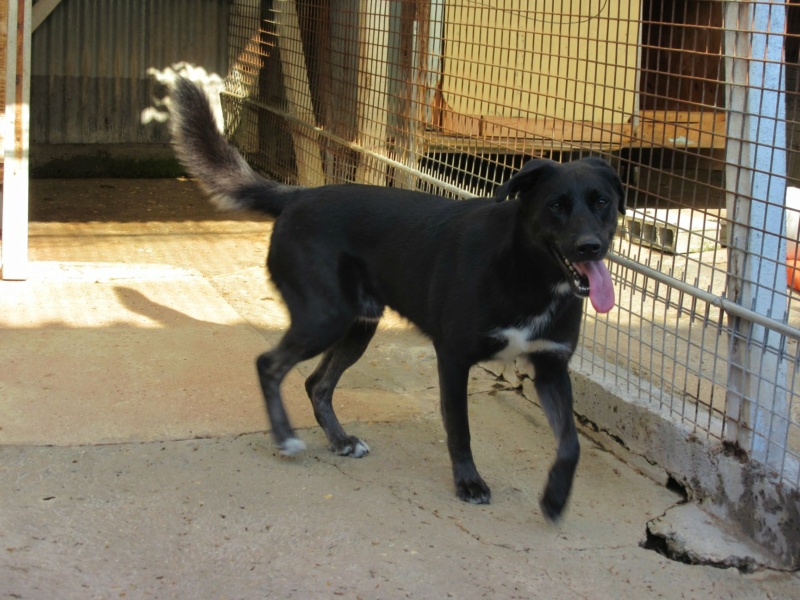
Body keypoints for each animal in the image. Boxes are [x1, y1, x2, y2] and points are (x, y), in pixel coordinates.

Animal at [170, 79, 624, 520]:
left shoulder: (551, 367)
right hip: (325, 318)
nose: (591, 247)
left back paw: (340, 440)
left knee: (316, 383)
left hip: (358, 325)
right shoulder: (454, 357)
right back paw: (285, 438)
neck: (529, 273)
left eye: (602, 201)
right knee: (269, 364)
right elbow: (460, 428)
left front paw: (555, 498)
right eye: (556, 206)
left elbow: (571, 444)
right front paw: (469, 483)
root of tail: (298, 195)